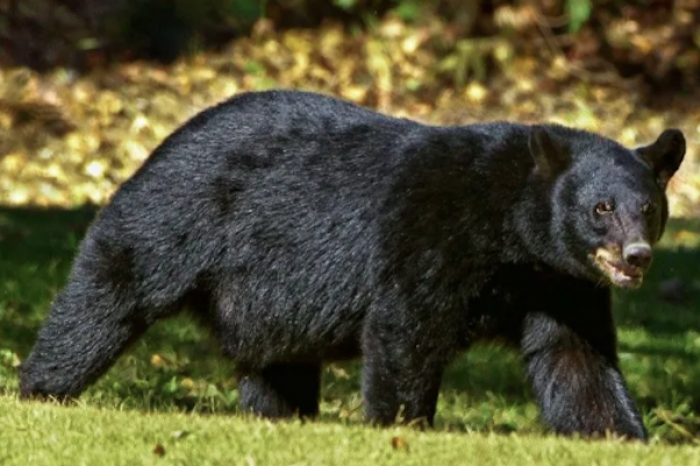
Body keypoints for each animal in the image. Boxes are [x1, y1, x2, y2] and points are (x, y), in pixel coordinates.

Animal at [20, 90, 684, 440]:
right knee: (110, 292)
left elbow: (576, 358)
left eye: (648, 208)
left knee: (275, 363)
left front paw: (620, 434)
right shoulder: (432, 233)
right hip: (175, 215)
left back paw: (281, 418)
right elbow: (406, 329)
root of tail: (167, 138)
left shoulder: (560, 281)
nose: (636, 256)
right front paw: (403, 428)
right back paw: (41, 389)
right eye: (601, 208)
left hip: (264, 299)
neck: (510, 231)